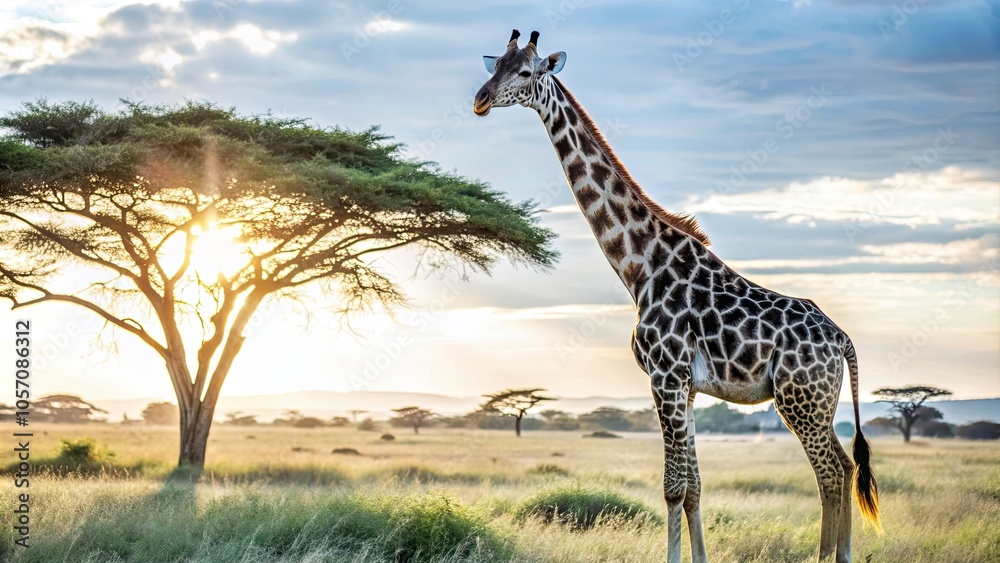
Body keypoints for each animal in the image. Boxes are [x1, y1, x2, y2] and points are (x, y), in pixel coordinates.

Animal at [473, 30, 880, 563]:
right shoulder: (686, 386)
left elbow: (671, 487)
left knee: (830, 473)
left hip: (800, 399)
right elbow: (694, 487)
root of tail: (843, 341)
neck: (639, 266)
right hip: (817, 401)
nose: (480, 99)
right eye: (495, 64)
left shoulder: (664, 376)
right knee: (846, 467)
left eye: (525, 72)